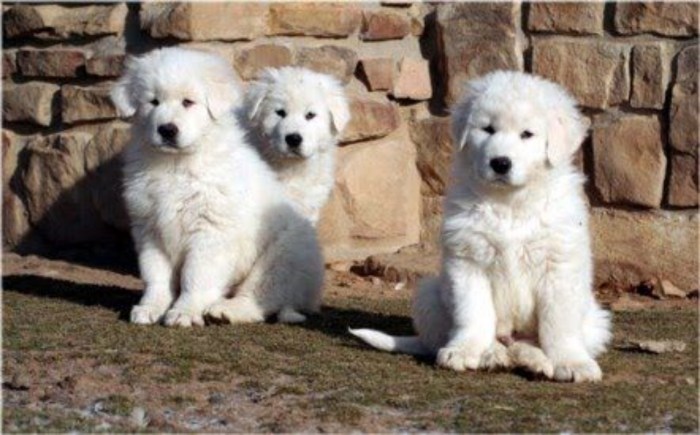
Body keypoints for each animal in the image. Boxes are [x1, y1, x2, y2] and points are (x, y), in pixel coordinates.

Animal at [113, 47, 326, 328]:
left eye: (188, 102)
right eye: (153, 102)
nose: (167, 129)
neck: (177, 164)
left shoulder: (211, 230)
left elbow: (195, 276)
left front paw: (184, 312)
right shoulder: (150, 228)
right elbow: (155, 275)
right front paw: (150, 307)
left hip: (282, 255)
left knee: (259, 298)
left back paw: (225, 310)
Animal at [352, 70, 608, 382]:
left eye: (527, 134)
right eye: (487, 129)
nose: (500, 163)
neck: (510, 203)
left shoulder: (558, 265)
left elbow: (559, 324)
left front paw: (571, 362)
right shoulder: (468, 260)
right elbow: (473, 313)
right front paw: (464, 351)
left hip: (595, 318)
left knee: (528, 342)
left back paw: (533, 361)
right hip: (428, 295)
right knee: (459, 337)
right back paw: (493, 355)